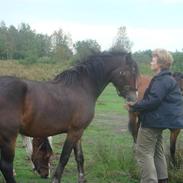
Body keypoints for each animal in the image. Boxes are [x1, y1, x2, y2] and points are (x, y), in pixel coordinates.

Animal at [0, 50, 138, 182]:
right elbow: (64, 157)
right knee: (6, 166)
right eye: (131, 72)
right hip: (8, 136)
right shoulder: (74, 131)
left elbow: (79, 157)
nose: (133, 99)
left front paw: (81, 179)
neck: (82, 88)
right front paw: (56, 179)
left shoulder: (79, 131)